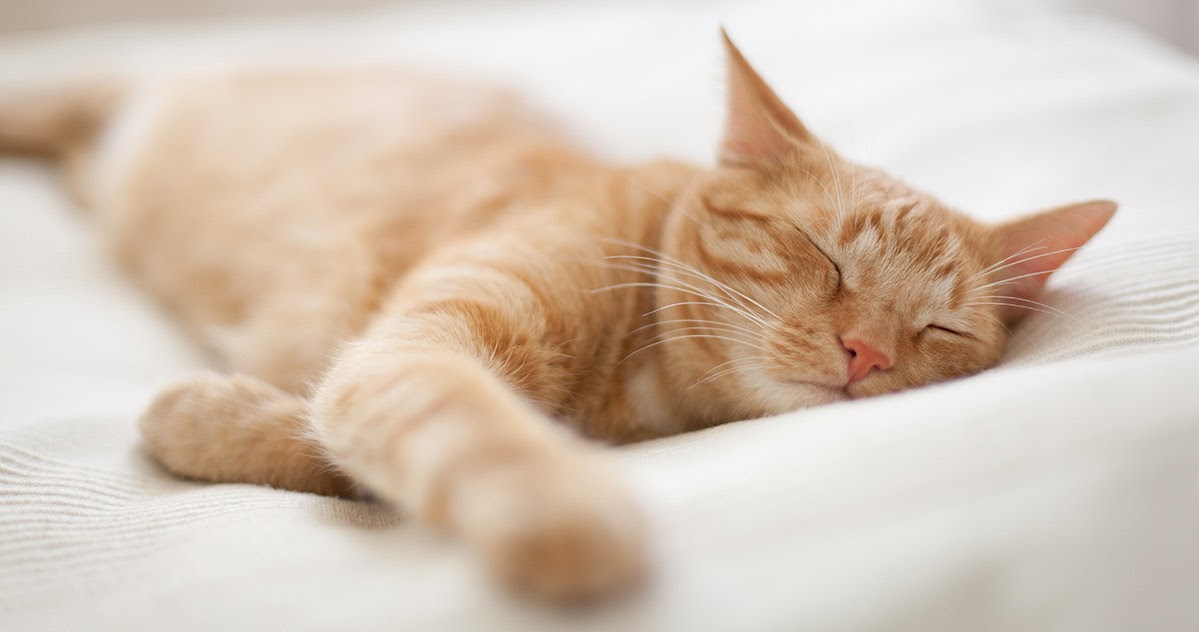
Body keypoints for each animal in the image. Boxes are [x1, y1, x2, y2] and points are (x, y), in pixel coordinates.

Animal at [0, 33, 1112, 604]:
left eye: (938, 330)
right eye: (824, 254)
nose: (865, 351)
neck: (640, 393)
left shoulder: (373, 366)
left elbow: (329, 433)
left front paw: (204, 415)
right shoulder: (415, 348)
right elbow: (463, 420)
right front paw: (558, 509)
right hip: (133, 102)